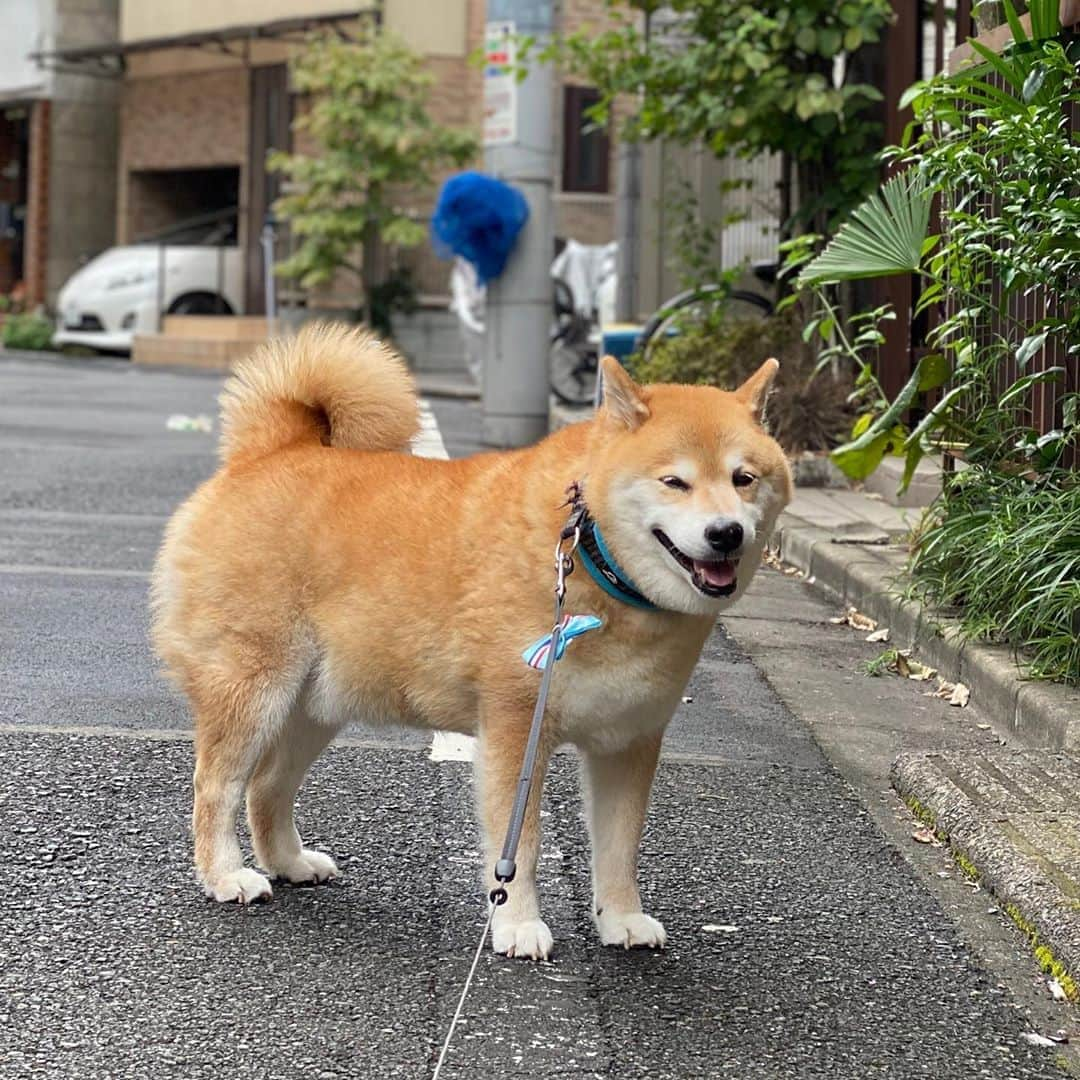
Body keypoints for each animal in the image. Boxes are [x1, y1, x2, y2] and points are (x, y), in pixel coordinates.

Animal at [152, 321, 790, 963]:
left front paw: (622, 918)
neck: (590, 558)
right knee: (218, 785)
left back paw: (288, 862)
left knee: (266, 787)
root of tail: (268, 452)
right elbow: (519, 845)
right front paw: (517, 924)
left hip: (314, 707)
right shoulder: (516, 727)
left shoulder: (628, 741)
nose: (726, 532)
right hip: (253, 689)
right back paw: (226, 875)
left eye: (743, 479)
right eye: (674, 481)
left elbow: (619, 847)